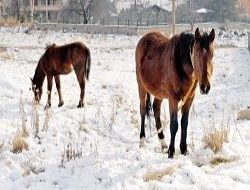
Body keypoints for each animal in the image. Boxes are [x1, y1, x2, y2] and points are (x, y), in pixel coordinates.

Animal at [136, 28, 216, 158]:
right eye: (197, 54)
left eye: (212, 55)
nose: (205, 87)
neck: (181, 65)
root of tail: (144, 38)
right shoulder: (173, 98)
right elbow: (174, 125)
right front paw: (171, 152)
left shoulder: (189, 99)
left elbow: (184, 123)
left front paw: (184, 150)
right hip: (141, 87)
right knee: (143, 111)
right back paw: (142, 140)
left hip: (159, 93)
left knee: (156, 108)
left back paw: (163, 144)